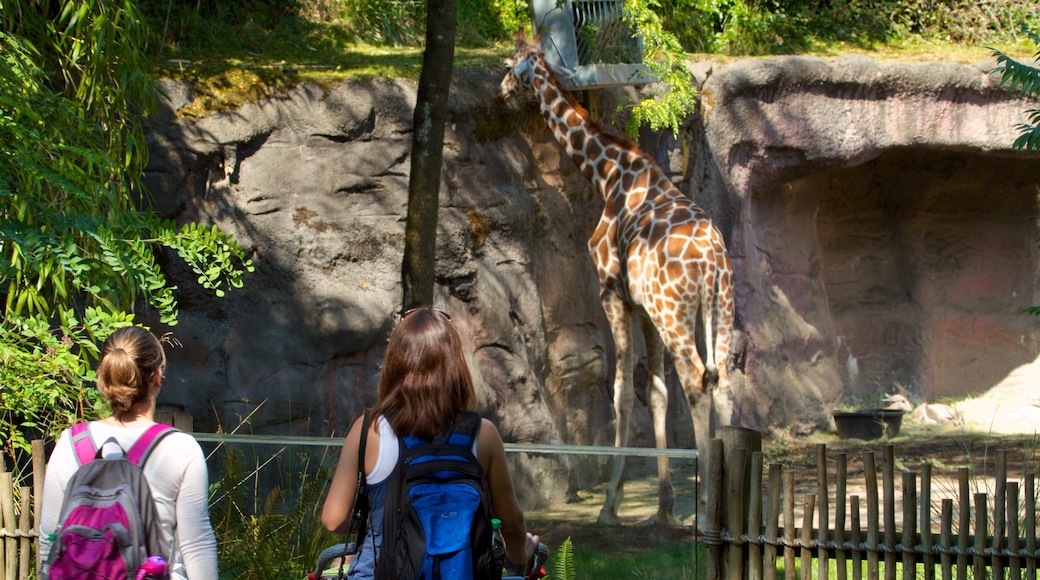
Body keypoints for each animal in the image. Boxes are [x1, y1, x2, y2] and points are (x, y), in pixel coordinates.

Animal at [497, 29, 736, 530]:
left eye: (511, 64)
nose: (502, 91)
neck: (609, 174)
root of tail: (712, 264)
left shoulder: (612, 292)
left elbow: (623, 392)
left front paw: (610, 505)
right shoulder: (644, 308)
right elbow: (657, 393)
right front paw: (664, 506)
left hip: (677, 315)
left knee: (696, 382)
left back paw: (707, 507)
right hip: (719, 308)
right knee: (721, 380)